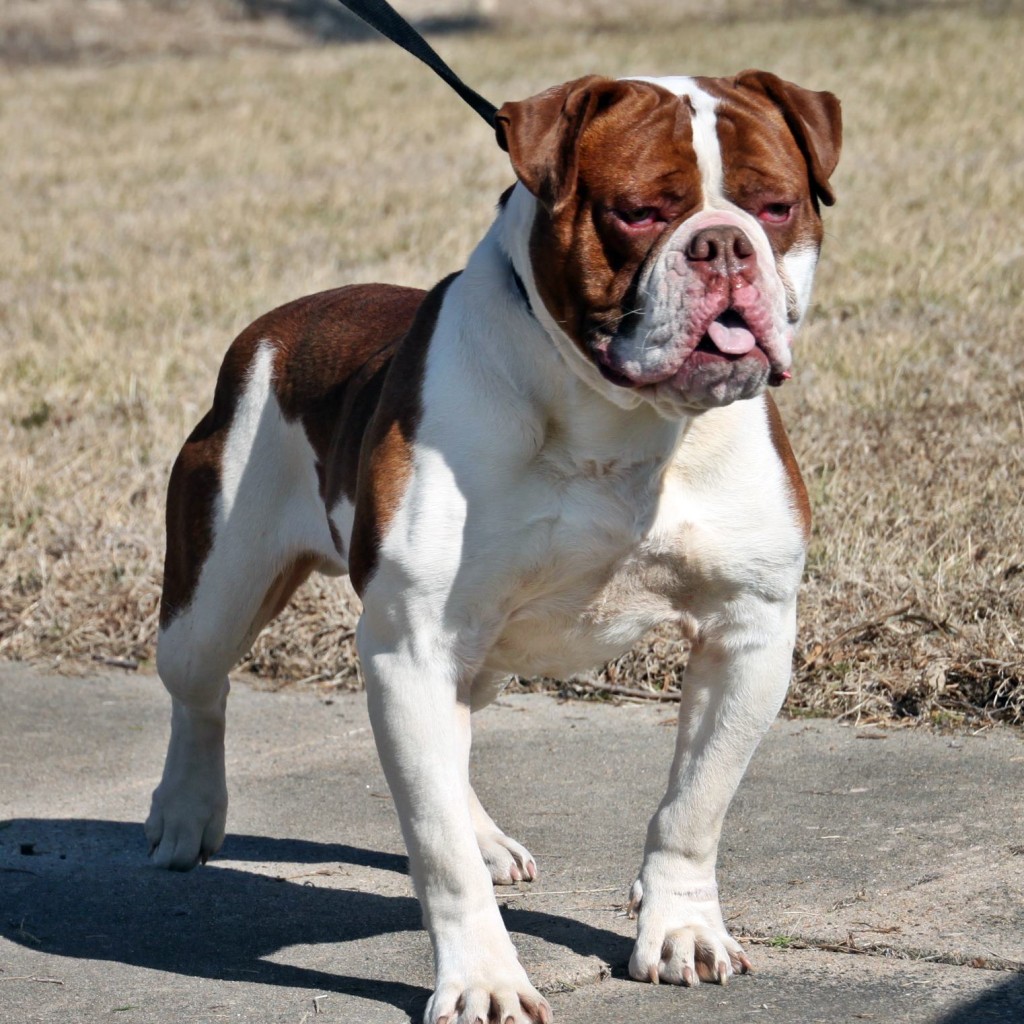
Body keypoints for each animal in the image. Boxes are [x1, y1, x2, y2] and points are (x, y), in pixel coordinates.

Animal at [148, 72, 843, 1024]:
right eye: (637, 212)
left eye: (776, 206)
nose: (726, 246)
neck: (619, 422)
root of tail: (274, 330)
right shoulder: (413, 644)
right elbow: (436, 852)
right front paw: (483, 978)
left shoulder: (749, 631)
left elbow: (693, 806)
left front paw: (683, 930)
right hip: (216, 589)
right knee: (202, 691)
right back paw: (183, 814)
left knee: (456, 738)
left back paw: (486, 836)